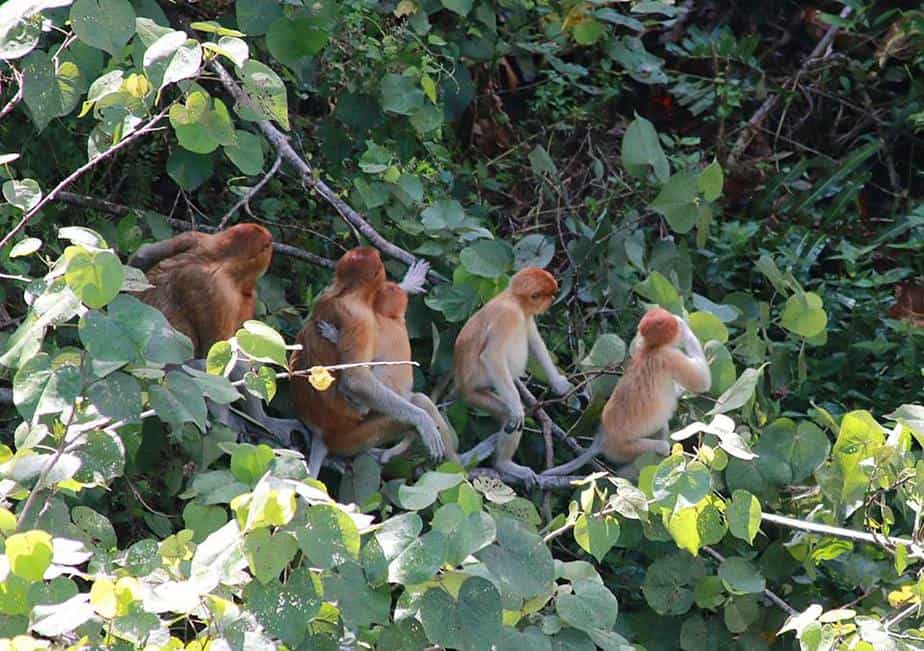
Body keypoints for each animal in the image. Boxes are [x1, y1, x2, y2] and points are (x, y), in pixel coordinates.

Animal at [288, 247, 448, 476]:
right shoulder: (363, 319)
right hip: (354, 436)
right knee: (418, 401)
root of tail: (322, 435)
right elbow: (356, 380)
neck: (346, 292)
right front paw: (423, 420)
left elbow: (356, 380)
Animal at [452, 264, 572, 484]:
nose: (551, 301)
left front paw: (559, 384)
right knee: (508, 416)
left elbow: (534, 342)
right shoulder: (509, 317)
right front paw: (517, 409)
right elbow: (492, 355)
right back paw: (504, 464)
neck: (514, 299)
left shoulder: (526, 317)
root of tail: (459, 383)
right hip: (473, 392)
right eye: (546, 295)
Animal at [540, 306, 716, 478]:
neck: (649, 349)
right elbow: (702, 382)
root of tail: (603, 437)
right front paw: (683, 326)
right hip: (623, 449)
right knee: (661, 446)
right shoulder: (668, 357)